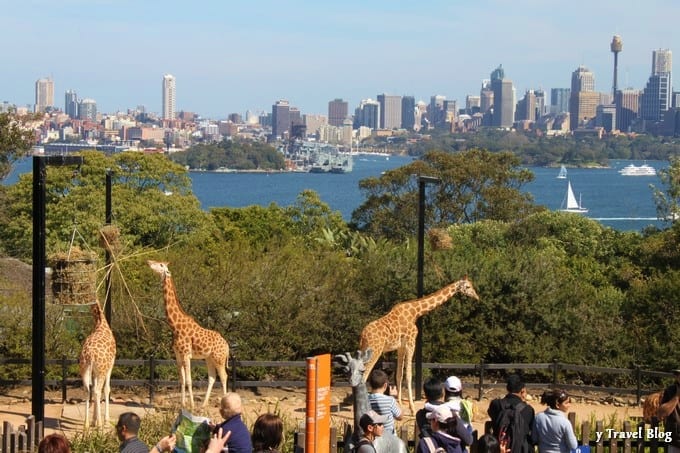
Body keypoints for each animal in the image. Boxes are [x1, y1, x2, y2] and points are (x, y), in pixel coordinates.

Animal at [79, 296, 117, 428]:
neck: (101, 324)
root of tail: (90, 355)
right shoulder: (110, 364)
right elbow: (107, 389)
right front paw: (105, 421)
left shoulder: (94, 371)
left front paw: (93, 420)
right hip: (101, 370)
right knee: (97, 391)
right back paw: (100, 425)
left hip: (84, 369)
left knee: (87, 390)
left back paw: (86, 425)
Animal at [147, 260, 230, 408]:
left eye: (161, 265)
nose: (149, 262)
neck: (175, 326)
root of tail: (227, 346)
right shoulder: (178, 355)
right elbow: (182, 379)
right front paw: (183, 404)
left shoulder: (186, 354)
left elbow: (189, 380)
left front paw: (191, 405)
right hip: (209, 358)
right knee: (212, 377)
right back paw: (203, 404)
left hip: (219, 358)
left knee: (224, 376)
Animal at [358, 276, 480, 414]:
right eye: (468, 286)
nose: (477, 297)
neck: (415, 312)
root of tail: (363, 335)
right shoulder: (411, 342)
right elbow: (409, 375)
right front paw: (411, 408)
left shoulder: (401, 347)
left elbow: (399, 374)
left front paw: (400, 403)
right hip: (375, 351)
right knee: (363, 376)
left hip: (364, 350)